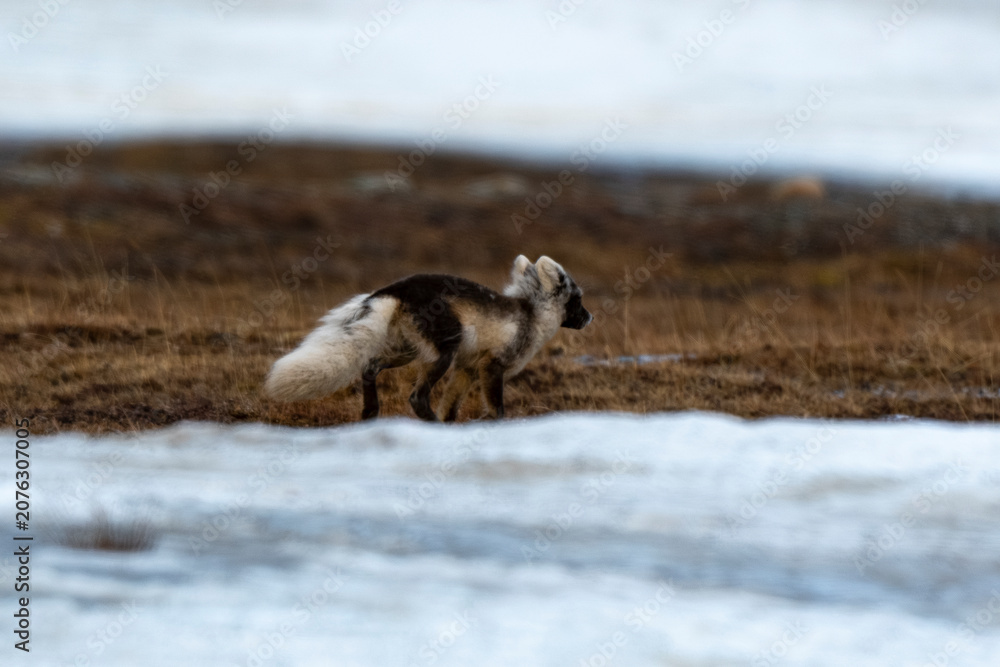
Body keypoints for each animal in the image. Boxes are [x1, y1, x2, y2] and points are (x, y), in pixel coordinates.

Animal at [264, 255, 592, 421]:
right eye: (578, 300)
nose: (590, 318)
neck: (532, 314)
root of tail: (391, 291)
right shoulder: (491, 366)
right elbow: (496, 410)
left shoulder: (466, 369)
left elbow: (451, 409)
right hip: (443, 351)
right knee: (416, 397)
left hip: (407, 350)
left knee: (369, 367)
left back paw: (371, 413)